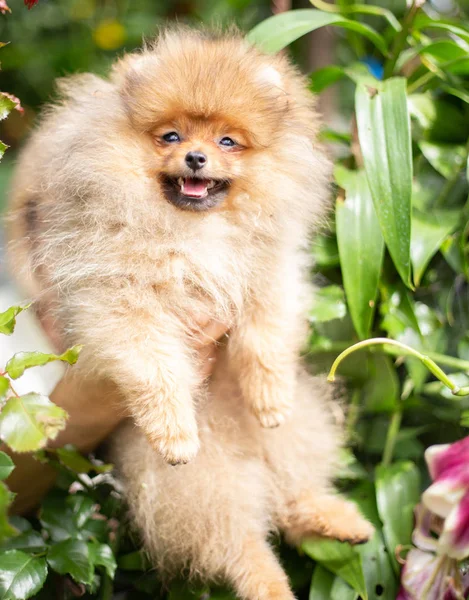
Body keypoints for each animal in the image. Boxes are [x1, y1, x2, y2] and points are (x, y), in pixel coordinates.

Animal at [7, 27, 330, 464]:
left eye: (227, 141)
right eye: (171, 136)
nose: (195, 156)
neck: (192, 229)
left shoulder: (267, 269)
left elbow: (265, 335)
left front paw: (272, 398)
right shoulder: (122, 298)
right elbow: (156, 368)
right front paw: (174, 434)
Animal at [110, 356, 372, 600]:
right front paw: (173, 431)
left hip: (288, 435)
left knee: (293, 498)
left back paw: (344, 524)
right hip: (205, 487)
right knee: (240, 547)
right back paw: (275, 591)